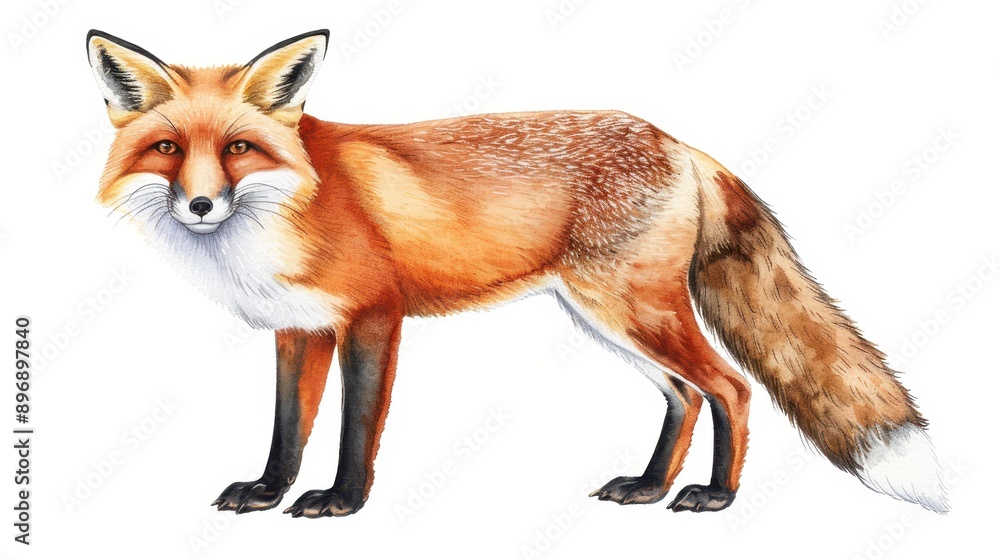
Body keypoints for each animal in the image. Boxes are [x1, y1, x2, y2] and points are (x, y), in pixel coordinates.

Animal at [86, 28, 947, 518]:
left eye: (238, 148)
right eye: (168, 149)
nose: (200, 204)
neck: (291, 203)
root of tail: (675, 139)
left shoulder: (374, 318)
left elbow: (354, 428)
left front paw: (340, 502)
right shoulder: (299, 330)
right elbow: (286, 431)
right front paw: (268, 494)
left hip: (635, 311)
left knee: (730, 388)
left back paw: (716, 496)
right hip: (608, 318)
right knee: (686, 395)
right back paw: (648, 486)